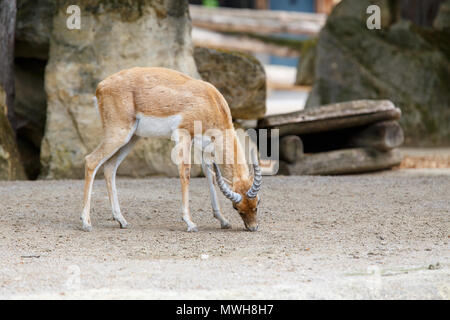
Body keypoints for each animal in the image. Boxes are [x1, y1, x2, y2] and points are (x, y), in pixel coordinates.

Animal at [81, 67, 262, 232]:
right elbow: (185, 173)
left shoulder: (203, 146)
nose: (253, 227)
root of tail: (101, 86)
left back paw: (121, 220)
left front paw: (223, 220)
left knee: (110, 167)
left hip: (131, 138)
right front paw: (190, 223)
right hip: (119, 135)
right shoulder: (183, 136)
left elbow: (210, 175)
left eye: (257, 203)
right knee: (91, 161)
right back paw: (86, 223)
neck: (210, 101)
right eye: (236, 207)